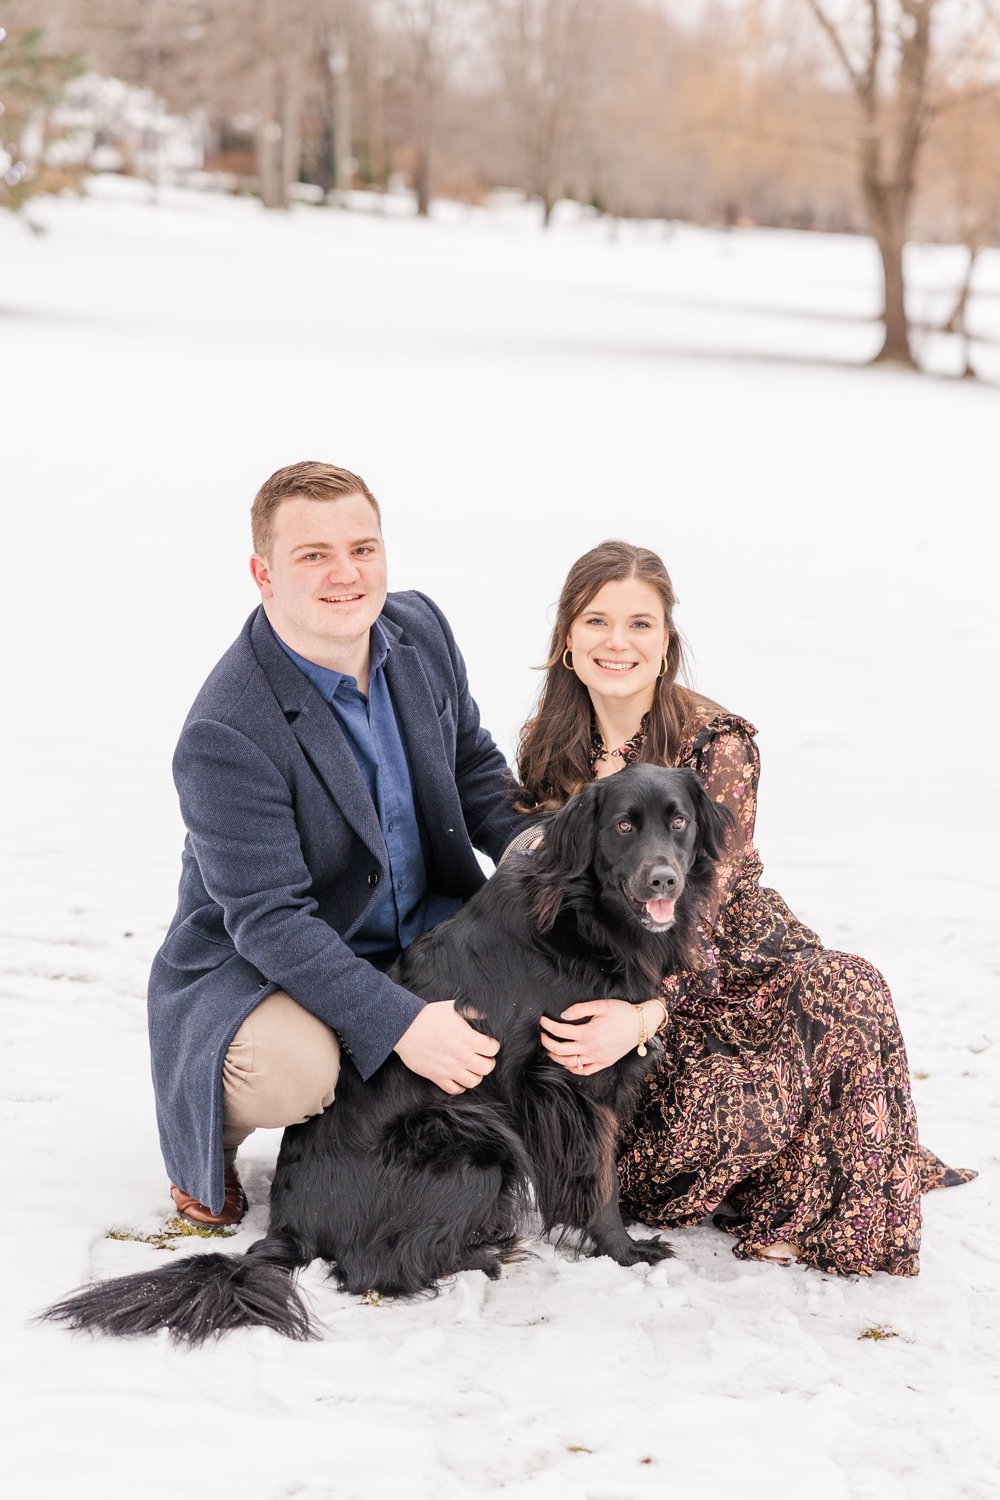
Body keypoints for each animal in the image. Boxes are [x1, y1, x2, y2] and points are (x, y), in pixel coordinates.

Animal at [43, 768, 731, 1344]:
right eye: (623, 826)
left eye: (679, 823)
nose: (664, 879)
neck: (584, 918)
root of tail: (286, 1229)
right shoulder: (569, 1076)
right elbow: (600, 1177)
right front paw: (626, 1252)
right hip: (472, 1143)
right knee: (374, 1268)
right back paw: (486, 1253)